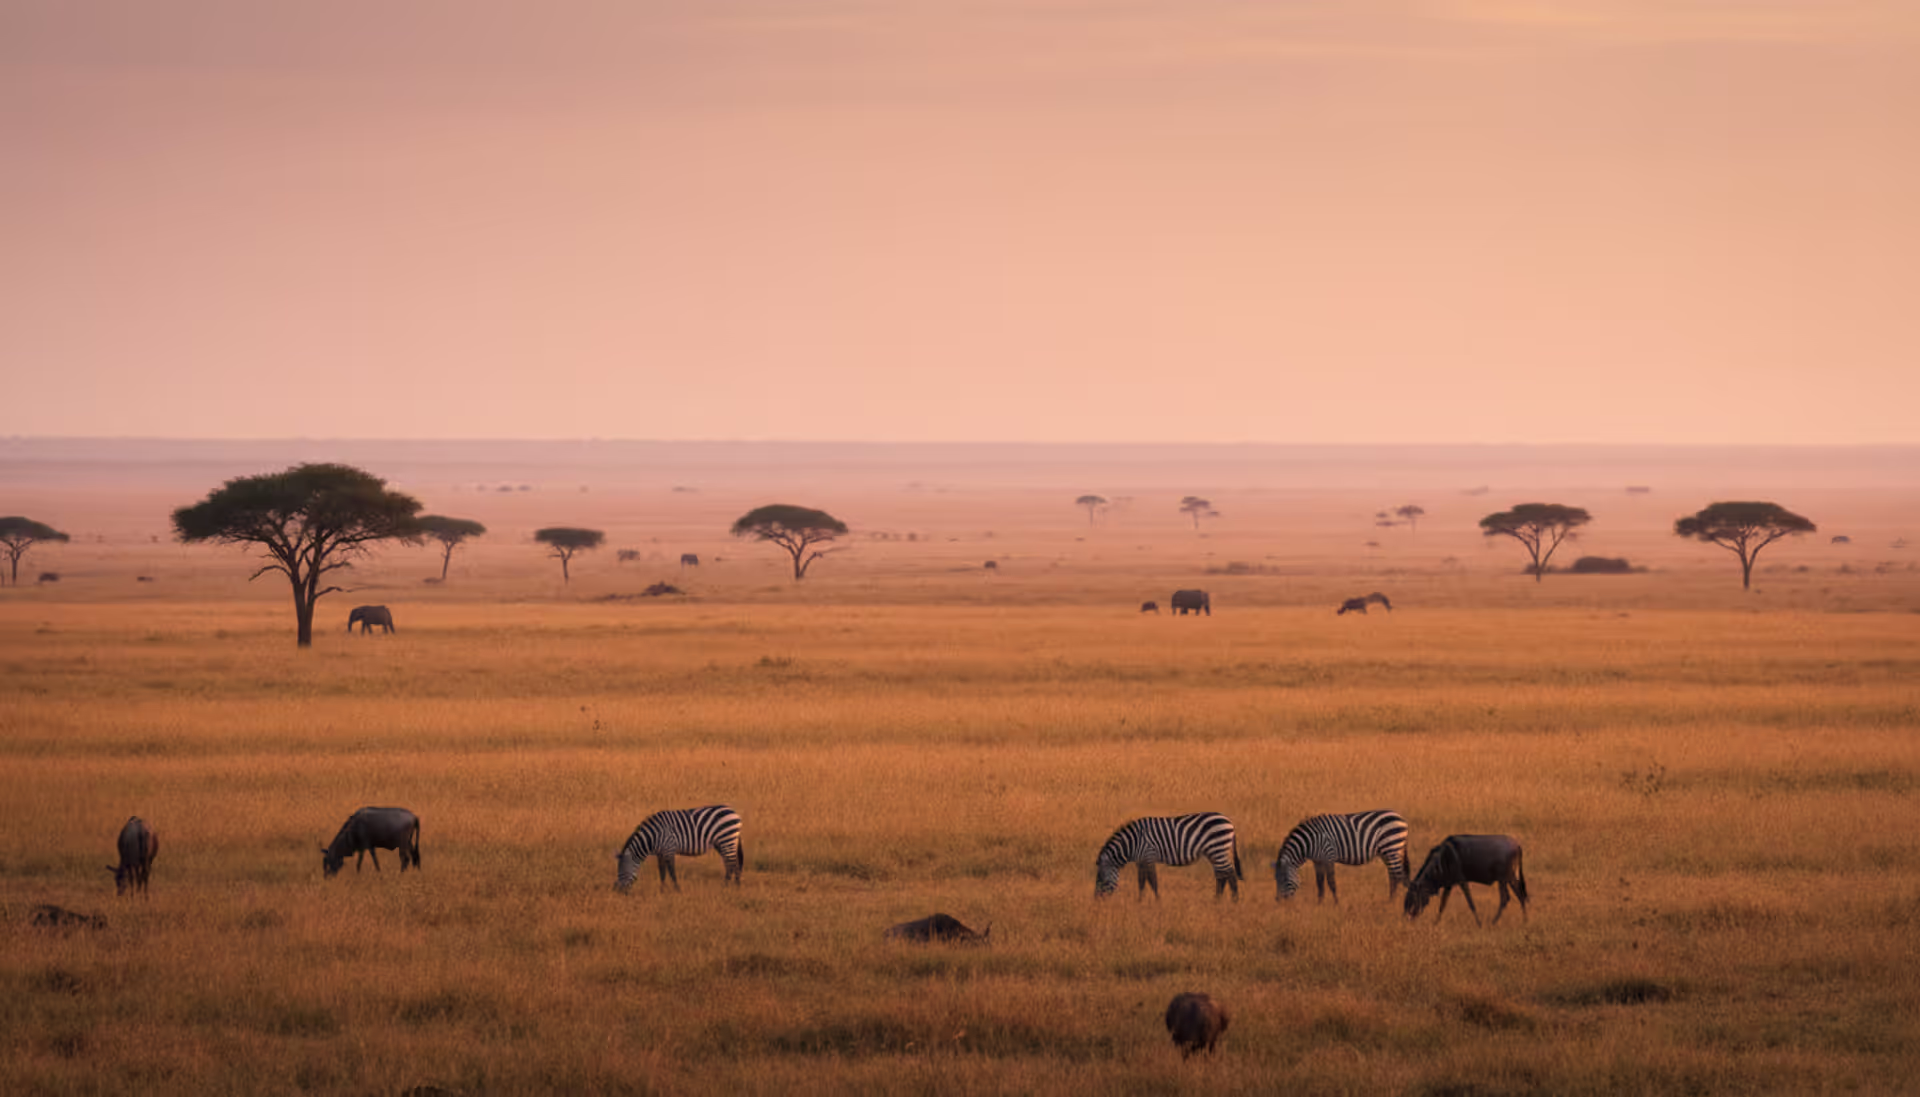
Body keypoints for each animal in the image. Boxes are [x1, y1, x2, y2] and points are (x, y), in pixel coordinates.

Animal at [615, 805, 744, 892]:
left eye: (621, 872)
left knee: (732, 862)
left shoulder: (669, 849)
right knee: (730, 863)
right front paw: (662, 889)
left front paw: (677, 889)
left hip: (727, 839)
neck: (653, 836)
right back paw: (733, 885)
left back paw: (729, 886)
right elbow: (662, 871)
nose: (619, 892)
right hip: (722, 843)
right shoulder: (660, 853)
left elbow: (671, 871)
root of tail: (734, 812)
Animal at [1095, 812, 1244, 900]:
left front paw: (1157, 900)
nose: (1096, 900)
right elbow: (1142, 881)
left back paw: (1234, 901)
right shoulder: (1141, 861)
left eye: (1100, 878)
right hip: (1215, 852)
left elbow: (1152, 880)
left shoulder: (1148, 856)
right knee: (1221, 875)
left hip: (1218, 849)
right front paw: (1140, 901)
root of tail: (1229, 821)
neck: (1133, 842)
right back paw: (1217, 900)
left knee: (1230, 873)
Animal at [1273, 809, 1410, 903]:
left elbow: (1331, 881)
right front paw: (1319, 903)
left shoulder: (1329, 856)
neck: (1310, 841)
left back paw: (1392, 902)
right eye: (1276, 879)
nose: (1278, 901)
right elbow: (1320, 882)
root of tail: (1401, 818)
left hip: (1392, 847)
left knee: (1397, 875)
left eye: (1284, 879)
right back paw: (1390, 900)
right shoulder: (1317, 861)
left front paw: (1336, 903)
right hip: (1387, 852)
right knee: (1392, 875)